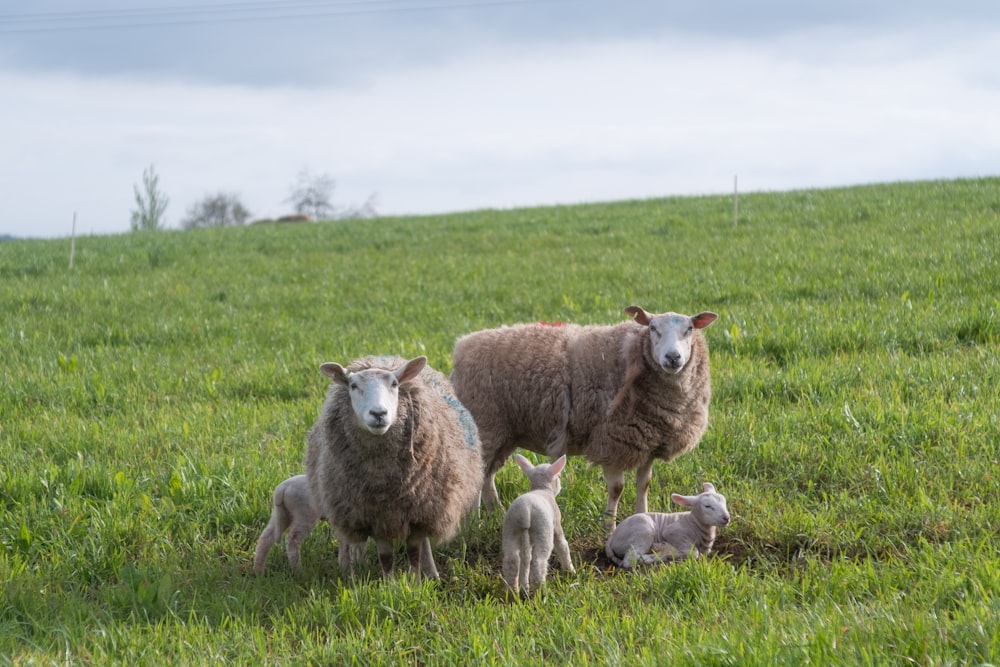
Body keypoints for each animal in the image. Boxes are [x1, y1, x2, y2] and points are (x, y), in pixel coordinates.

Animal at [304, 354, 484, 580]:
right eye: (353, 386)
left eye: (394, 384)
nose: (379, 413)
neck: (383, 478)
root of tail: (382, 358)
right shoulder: (376, 517)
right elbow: (386, 556)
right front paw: (389, 582)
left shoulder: (418, 510)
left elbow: (414, 551)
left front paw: (415, 581)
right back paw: (349, 567)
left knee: (424, 543)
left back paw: (431, 572)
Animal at [450, 308, 716, 532]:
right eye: (653, 328)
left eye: (689, 329)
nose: (673, 358)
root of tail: (461, 346)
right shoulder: (611, 440)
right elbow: (617, 489)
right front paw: (609, 527)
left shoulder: (647, 443)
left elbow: (644, 484)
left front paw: (642, 516)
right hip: (485, 424)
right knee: (477, 474)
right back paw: (472, 523)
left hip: (503, 433)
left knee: (487, 474)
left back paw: (494, 511)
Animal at [500, 456, 580, 596]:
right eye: (559, 476)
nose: (561, 486)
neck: (542, 488)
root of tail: (525, 511)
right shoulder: (556, 523)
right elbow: (562, 545)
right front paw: (571, 571)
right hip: (543, 530)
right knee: (538, 562)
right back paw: (541, 592)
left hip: (510, 529)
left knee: (512, 561)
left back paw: (513, 592)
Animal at [604, 480, 732, 568]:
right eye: (707, 506)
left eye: (724, 502)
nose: (726, 518)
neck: (693, 524)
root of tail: (612, 538)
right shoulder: (672, 531)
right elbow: (693, 552)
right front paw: (665, 548)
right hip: (643, 531)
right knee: (630, 559)